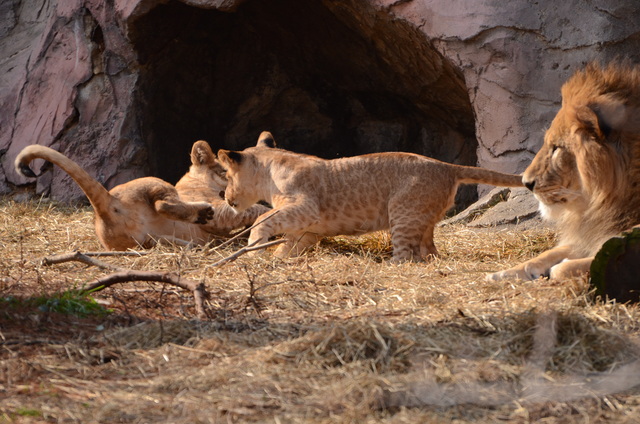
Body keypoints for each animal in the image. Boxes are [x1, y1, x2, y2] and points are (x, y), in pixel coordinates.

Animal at [490, 62, 640, 282]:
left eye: (556, 148)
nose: (526, 183)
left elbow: (565, 267)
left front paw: (560, 267)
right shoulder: (592, 229)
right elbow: (548, 253)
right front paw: (502, 273)